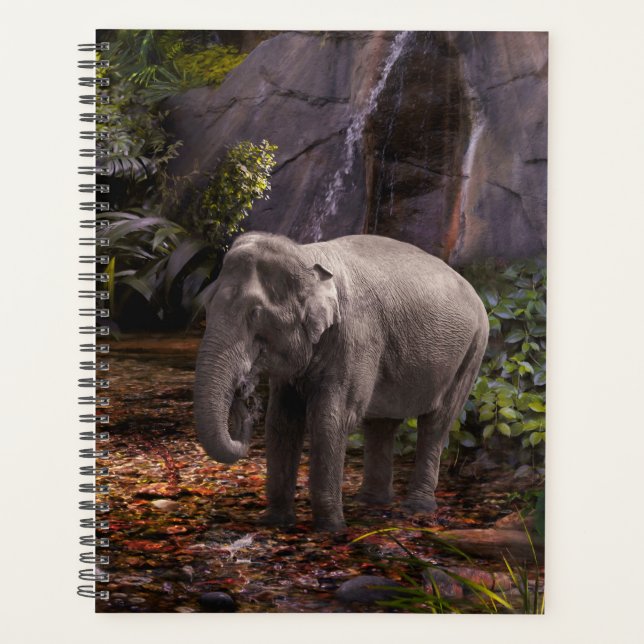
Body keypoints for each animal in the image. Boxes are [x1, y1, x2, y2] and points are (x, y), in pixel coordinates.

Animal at [194, 232, 489, 532]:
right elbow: (281, 421)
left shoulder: (357, 337)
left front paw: (331, 529)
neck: (307, 255)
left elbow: (331, 418)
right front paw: (273, 522)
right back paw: (372, 502)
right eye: (206, 304)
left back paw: (417, 508)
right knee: (382, 424)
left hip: (473, 350)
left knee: (437, 422)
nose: (243, 392)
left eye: (255, 313)